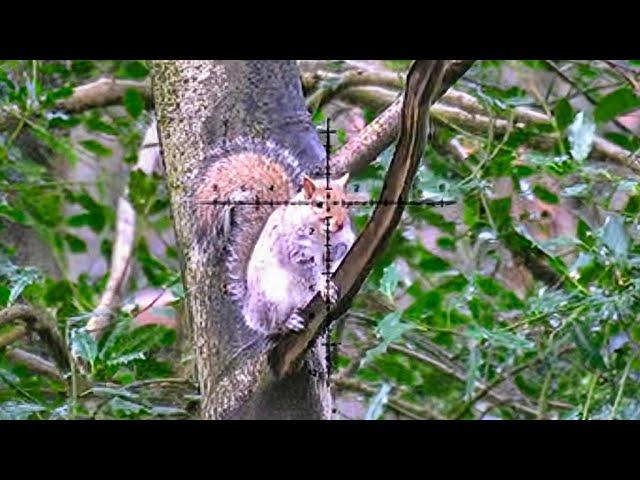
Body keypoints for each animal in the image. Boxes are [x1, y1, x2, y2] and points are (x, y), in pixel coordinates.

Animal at [195, 135, 362, 352]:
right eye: (318, 204)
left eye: (345, 202)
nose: (340, 223)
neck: (321, 234)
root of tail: (249, 307)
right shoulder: (296, 249)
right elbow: (310, 270)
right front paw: (323, 285)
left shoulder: (343, 240)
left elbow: (341, 250)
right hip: (274, 299)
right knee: (271, 324)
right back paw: (288, 322)